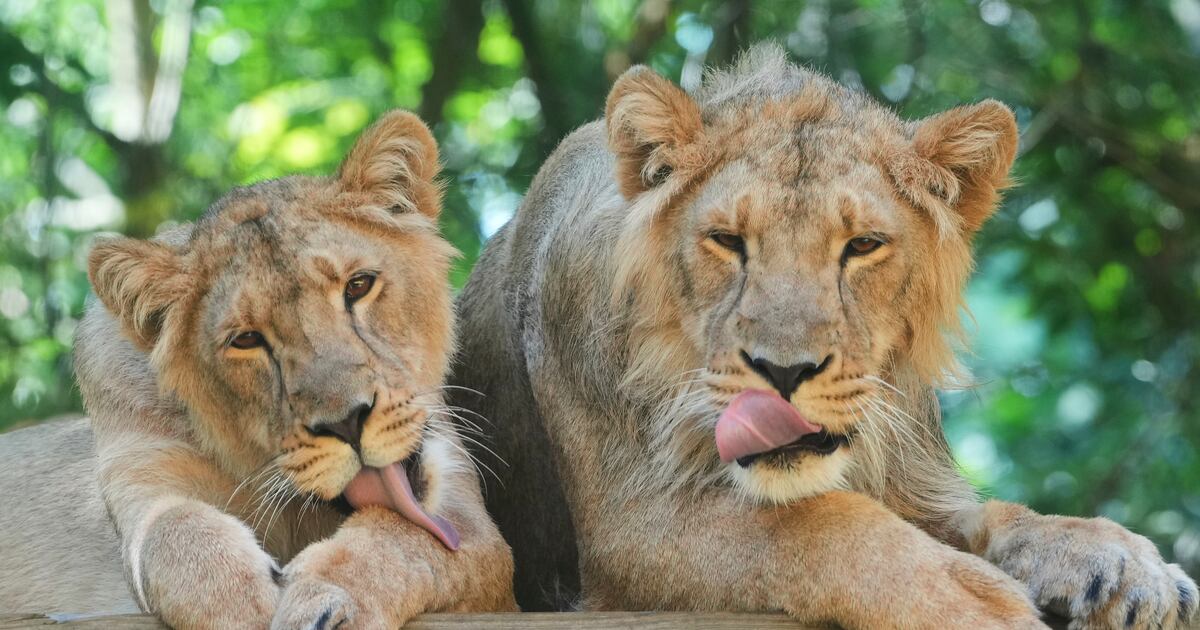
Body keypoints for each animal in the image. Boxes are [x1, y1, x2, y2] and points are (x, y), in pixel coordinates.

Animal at [0, 111, 516, 629]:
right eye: (247, 339)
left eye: (358, 285)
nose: (347, 423)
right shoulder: (144, 469)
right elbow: (173, 531)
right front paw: (243, 607)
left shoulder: (473, 526)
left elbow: (405, 539)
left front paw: (326, 594)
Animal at [449, 44, 1198, 629]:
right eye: (727, 241)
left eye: (862, 245)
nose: (784, 373)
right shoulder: (625, 534)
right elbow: (811, 523)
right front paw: (979, 605)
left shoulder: (918, 482)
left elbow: (1001, 516)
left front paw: (1123, 562)